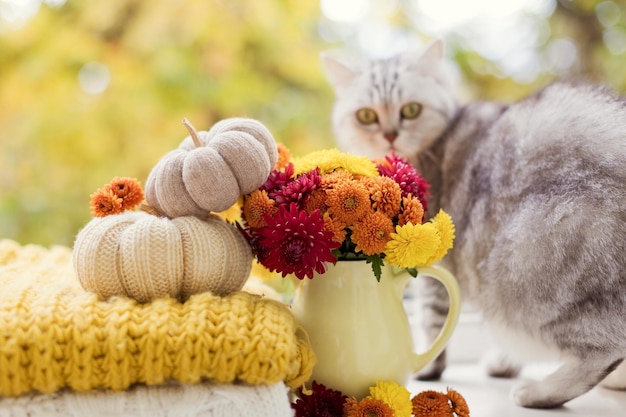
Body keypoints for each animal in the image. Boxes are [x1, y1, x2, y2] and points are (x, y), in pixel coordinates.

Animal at [322, 39, 624, 406]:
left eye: (411, 110)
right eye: (366, 116)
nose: (389, 134)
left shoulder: (434, 261)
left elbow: (432, 321)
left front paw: (428, 367)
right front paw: (502, 363)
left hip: (522, 270)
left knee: (604, 347)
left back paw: (539, 393)